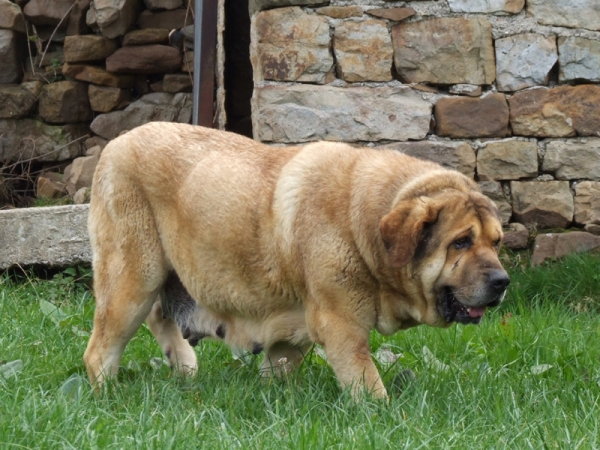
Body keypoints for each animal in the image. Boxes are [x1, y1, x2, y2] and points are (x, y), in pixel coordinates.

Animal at [82, 122, 508, 398]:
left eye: (496, 242)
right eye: (460, 242)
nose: (502, 281)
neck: (363, 224)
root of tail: (116, 142)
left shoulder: (293, 331)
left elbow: (279, 368)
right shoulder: (342, 326)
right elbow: (370, 386)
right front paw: (385, 414)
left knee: (159, 317)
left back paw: (185, 369)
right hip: (132, 279)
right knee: (101, 349)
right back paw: (108, 397)